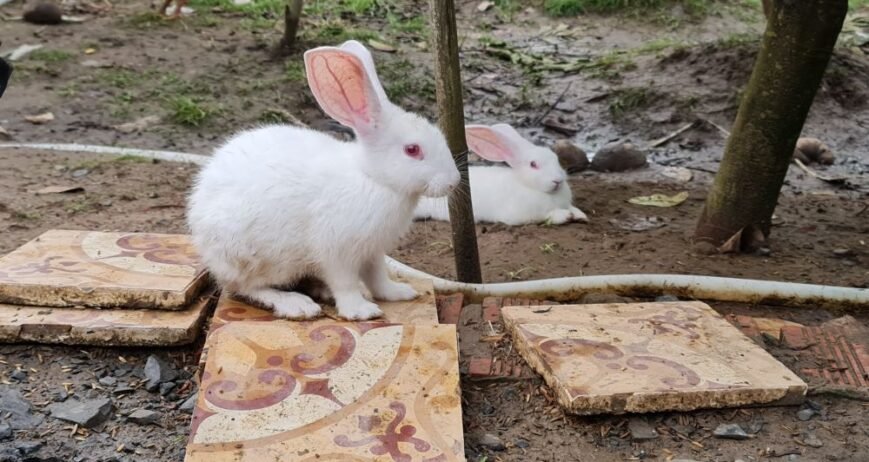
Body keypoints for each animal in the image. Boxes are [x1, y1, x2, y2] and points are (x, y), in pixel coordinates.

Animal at [187, 40, 460, 321]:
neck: (372, 178)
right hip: (249, 258)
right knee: (246, 287)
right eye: (412, 150)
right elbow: (345, 283)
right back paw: (296, 304)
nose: (454, 181)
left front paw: (398, 293)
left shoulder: (373, 252)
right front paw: (361, 311)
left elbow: (377, 277)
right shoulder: (337, 251)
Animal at [414, 123, 588, 226]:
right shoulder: (520, 216)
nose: (557, 181)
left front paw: (580, 215)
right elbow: (546, 216)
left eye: (556, 158)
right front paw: (565, 216)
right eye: (533, 165)